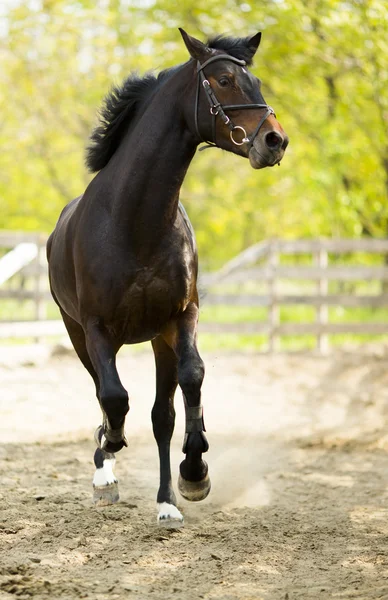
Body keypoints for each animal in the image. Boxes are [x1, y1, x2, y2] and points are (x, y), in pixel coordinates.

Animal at [46, 28, 288, 524]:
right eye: (223, 80)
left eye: (254, 80)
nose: (275, 140)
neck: (134, 220)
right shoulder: (96, 329)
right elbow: (114, 397)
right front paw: (108, 451)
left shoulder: (180, 318)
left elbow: (189, 382)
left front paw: (194, 473)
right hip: (79, 335)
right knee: (105, 392)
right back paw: (106, 468)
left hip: (157, 339)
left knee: (162, 415)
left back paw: (166, 501)